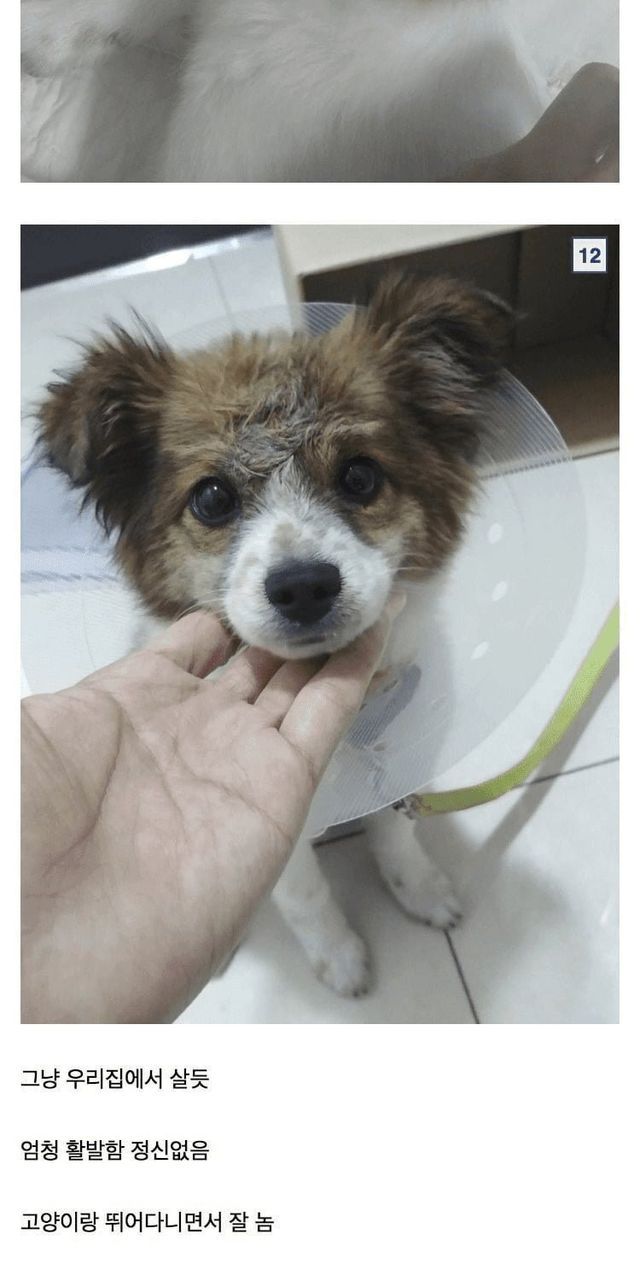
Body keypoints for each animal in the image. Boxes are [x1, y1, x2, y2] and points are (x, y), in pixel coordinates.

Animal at [36, 275, 513, 995]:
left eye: (360, 475)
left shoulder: (396, 770)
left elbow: (397, 836)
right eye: (211, 498)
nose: (304, 587)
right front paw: (341, 959)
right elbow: (305, 894)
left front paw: (423, 891)